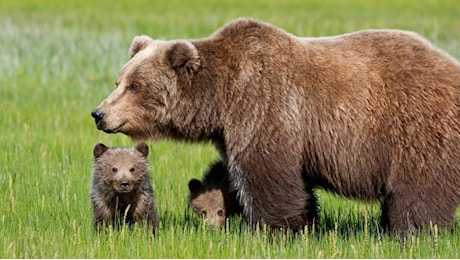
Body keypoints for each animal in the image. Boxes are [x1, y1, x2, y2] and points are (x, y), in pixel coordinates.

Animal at [91, 17, 460, 236]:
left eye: (135, 86)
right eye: (119, 81)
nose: (99, 113)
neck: (221, 98)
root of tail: (451, 65)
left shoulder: (265, 105)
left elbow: (267, 172)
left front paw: (276, 229)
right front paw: (305, 223)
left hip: (416, 127)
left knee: (419, 189)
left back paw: (411, 231)